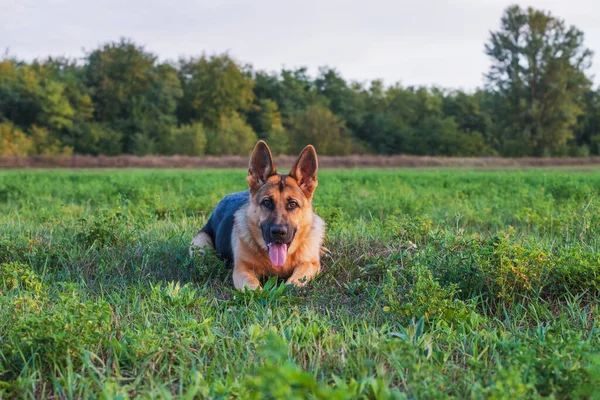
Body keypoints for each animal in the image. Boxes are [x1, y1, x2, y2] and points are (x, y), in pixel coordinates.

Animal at [190, 141, 326, 290]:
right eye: (267, 202)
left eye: (292, 204)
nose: (278, 232)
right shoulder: (242, 269)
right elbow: (253, 287)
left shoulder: (309, 264)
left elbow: (295, 281)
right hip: (200, 244)